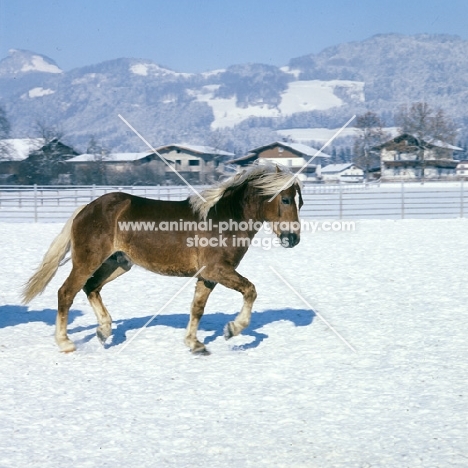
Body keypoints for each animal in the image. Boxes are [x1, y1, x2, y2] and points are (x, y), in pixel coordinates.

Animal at [22, 163, 304, 352]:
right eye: (286, 199)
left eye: (300, 202)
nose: (293, 239)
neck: (225, 220)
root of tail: (86, 208)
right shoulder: (216, 270)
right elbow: (250, 290)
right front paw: (232, 329)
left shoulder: (207, 275)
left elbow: (197, 308)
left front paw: (194, 343)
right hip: (87, 261)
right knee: (66, 292)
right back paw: (66, 342)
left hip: (118, 263)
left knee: (91, 287)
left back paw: (104, 331)